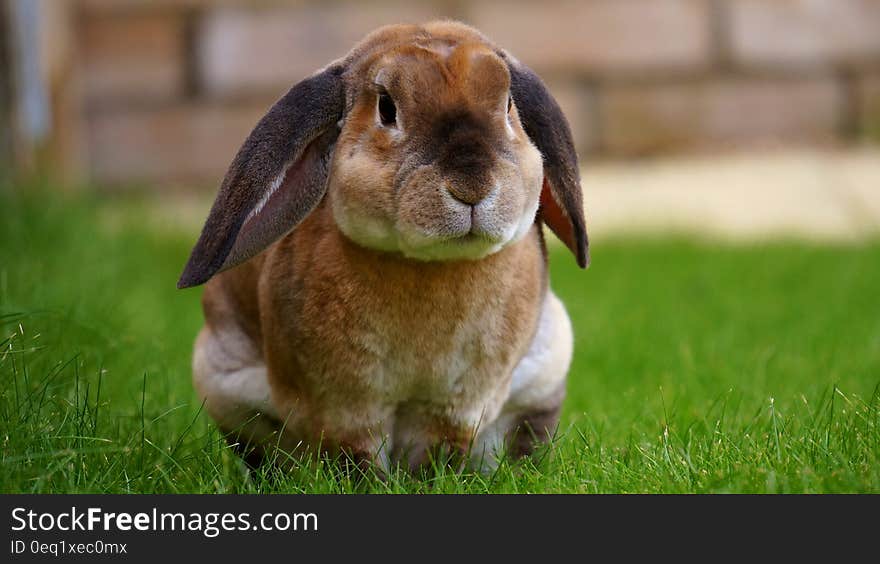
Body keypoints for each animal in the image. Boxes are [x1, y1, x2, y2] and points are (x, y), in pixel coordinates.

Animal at [177, 20, 592, 472]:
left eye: (508, 106)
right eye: (387, 109)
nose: (471, 186)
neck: (430, 265)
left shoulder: (455, 406)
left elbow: (439, 451)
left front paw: (435, 480)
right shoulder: (344, 407)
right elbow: (356, 455)